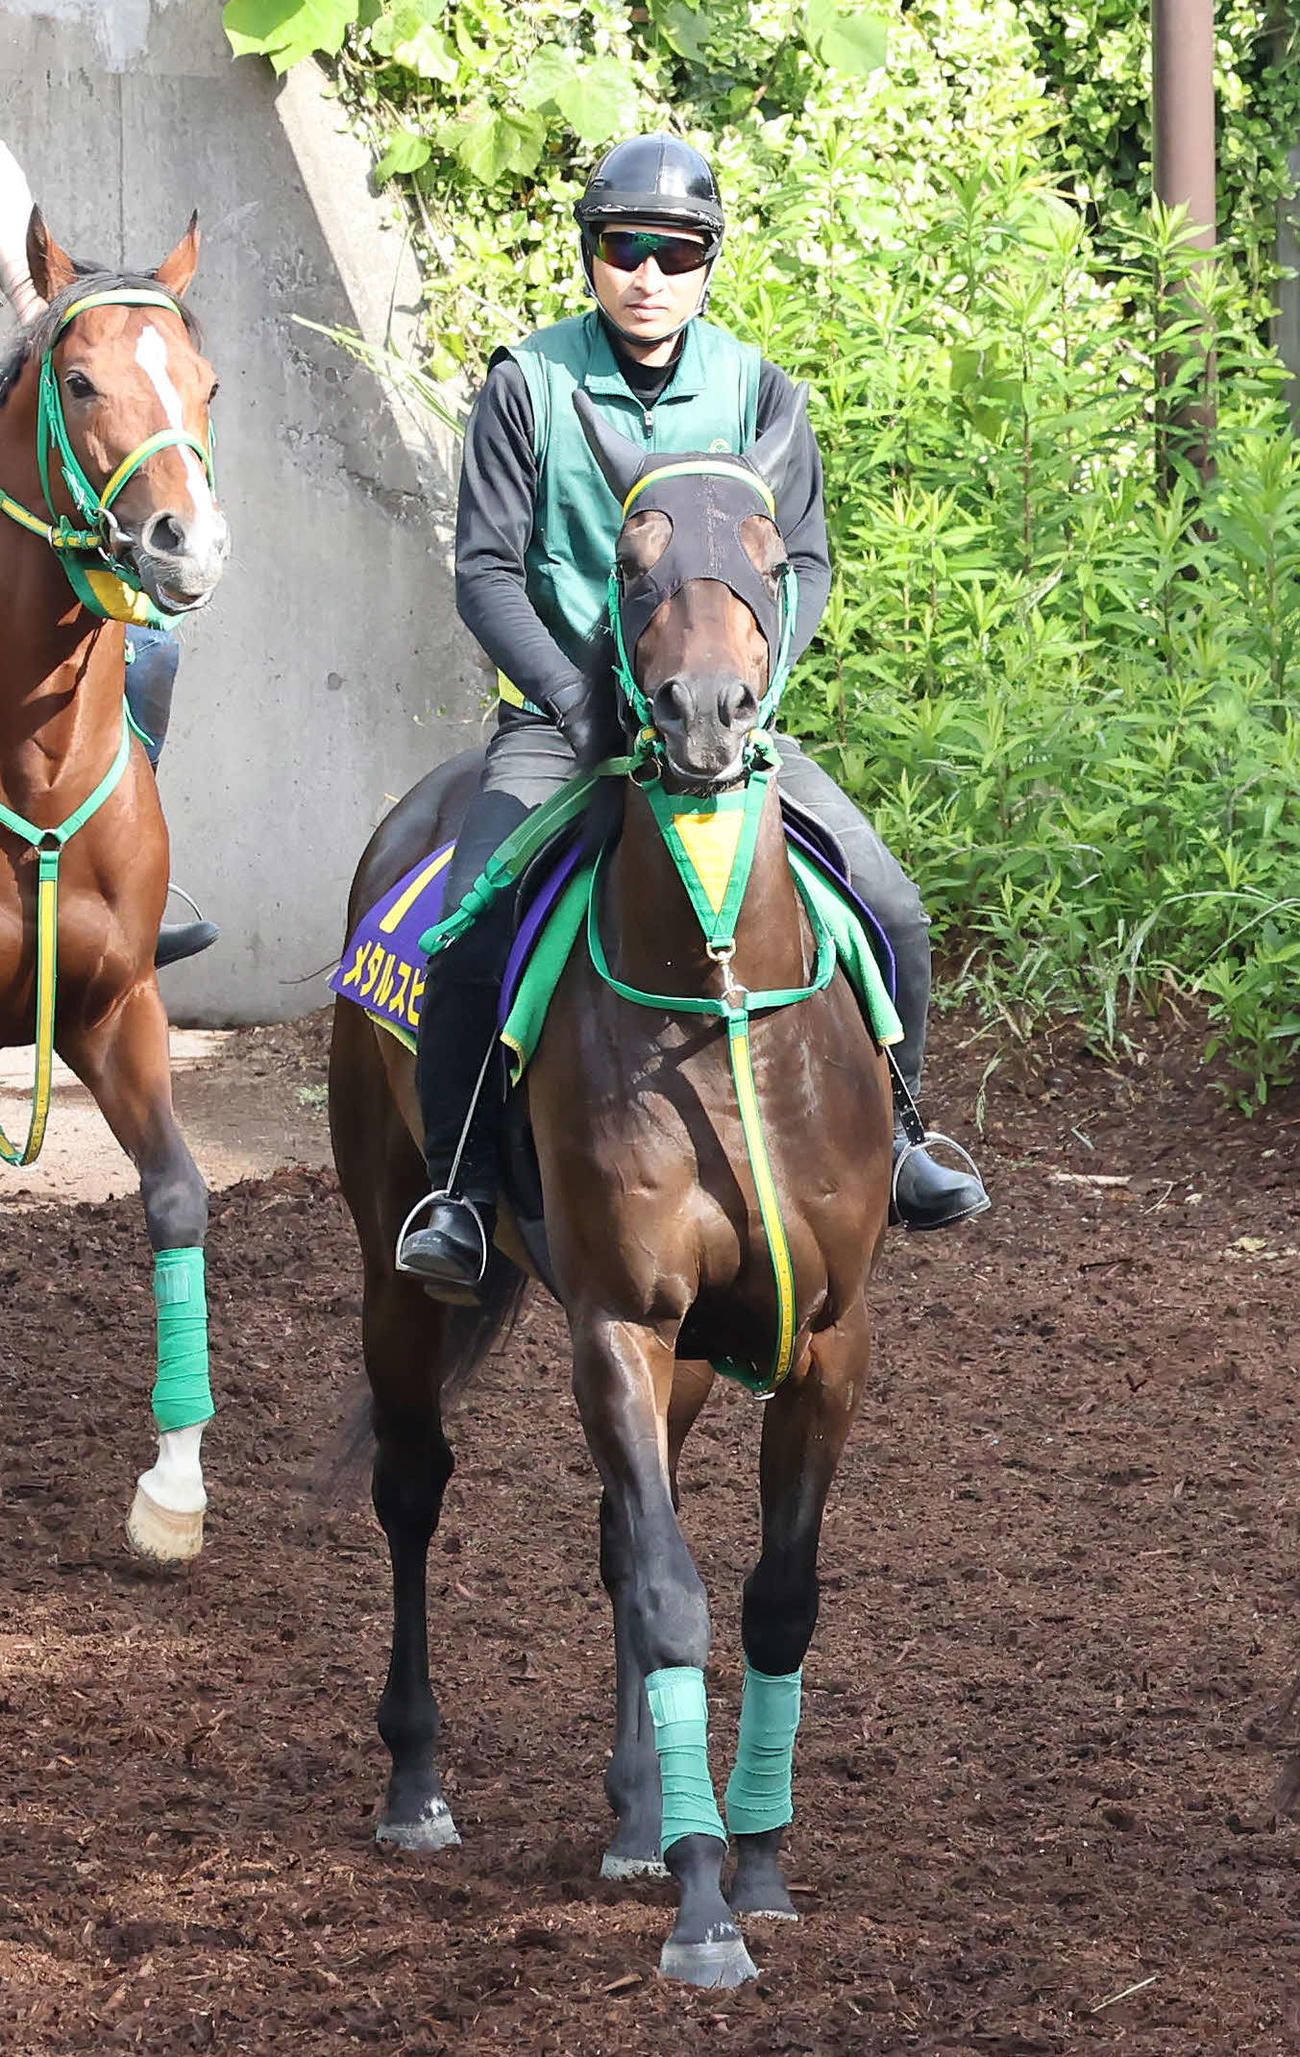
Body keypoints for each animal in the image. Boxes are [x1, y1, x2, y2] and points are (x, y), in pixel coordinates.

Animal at [329, 388, 894, 1988]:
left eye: (766, 550)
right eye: (633, 565)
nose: (705, 718)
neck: (721, 1001)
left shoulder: (824, 1337)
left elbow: (767, 1598)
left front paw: (749, 1861)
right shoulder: (616, 1324)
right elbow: (671, 1590)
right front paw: (706, 1913)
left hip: (698, 1353)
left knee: (613, 1536)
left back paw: (644, 1813)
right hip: (393, 1261)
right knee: (415, 1485)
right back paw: (420, 1786)